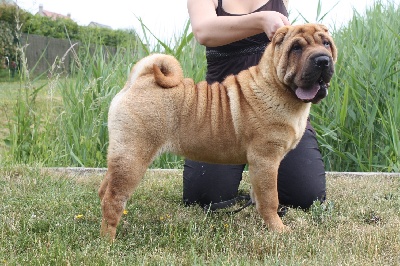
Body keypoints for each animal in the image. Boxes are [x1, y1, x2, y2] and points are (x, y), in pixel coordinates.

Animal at [98, 23, 336, 239]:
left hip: (122, 154)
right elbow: (270, 198)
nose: (323, 60)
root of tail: (140, 80)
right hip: (133, 157)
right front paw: (278, 229)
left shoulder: (260, 165)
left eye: (326, 43)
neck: (277, 88)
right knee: (113, 198)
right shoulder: (266, 159)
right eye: (296, 48)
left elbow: (259, 195)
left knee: (104, 189)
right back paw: (109, 241)